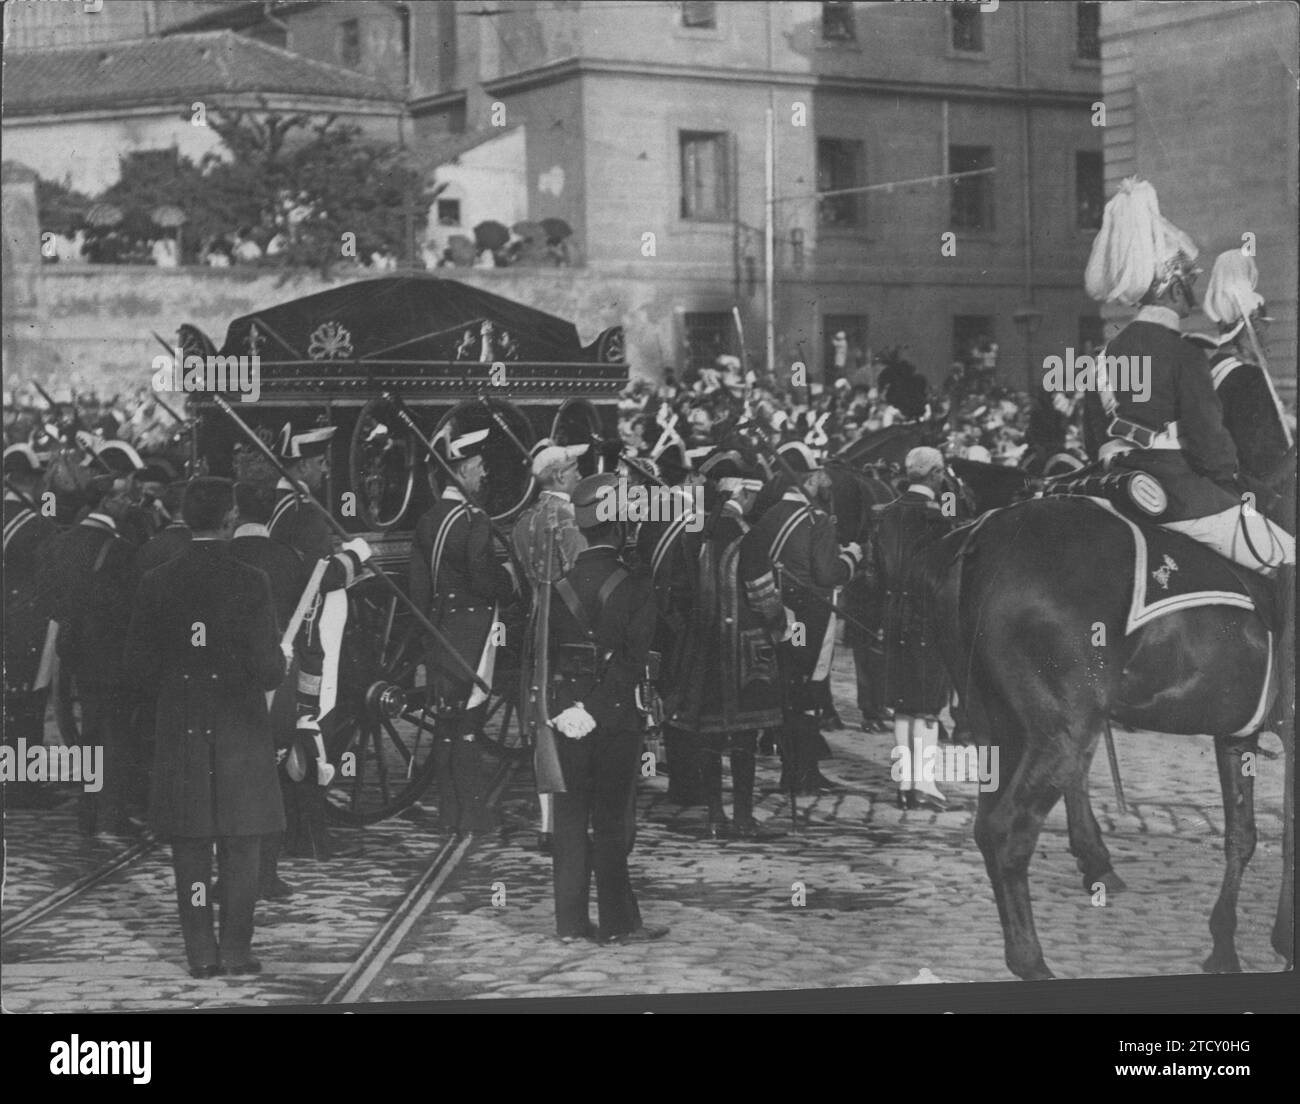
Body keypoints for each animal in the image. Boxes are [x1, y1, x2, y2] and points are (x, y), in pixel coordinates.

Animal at [920, 460, 1294, 977]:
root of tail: (980, 535)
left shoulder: (1237, 734)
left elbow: (1243, 835)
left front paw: (1224, 946)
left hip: (999, 727)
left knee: (988, 824)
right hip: (1063, 728)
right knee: (1008, 831)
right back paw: (1033, 961)